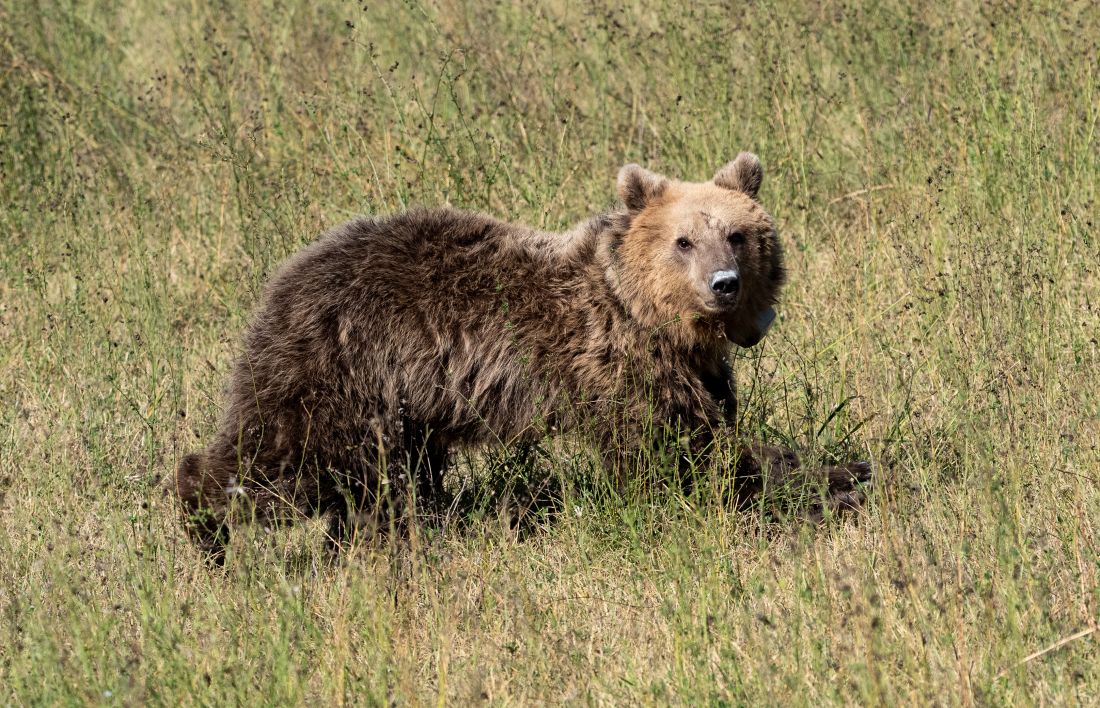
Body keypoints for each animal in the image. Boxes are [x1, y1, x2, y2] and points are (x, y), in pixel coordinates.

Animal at [176, 155, 871, 562]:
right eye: (683, 240)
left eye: (738, 233)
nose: (723, 283)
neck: (652, 319)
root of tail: (287, 275)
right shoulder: (616, 367)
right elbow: (680, 459)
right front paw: (832, 481)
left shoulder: (697, 373)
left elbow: (713, 436)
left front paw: (846, 471)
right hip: (341, 372)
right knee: (284, 461)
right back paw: (205, 527)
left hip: (401, 404)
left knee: (382, 484)